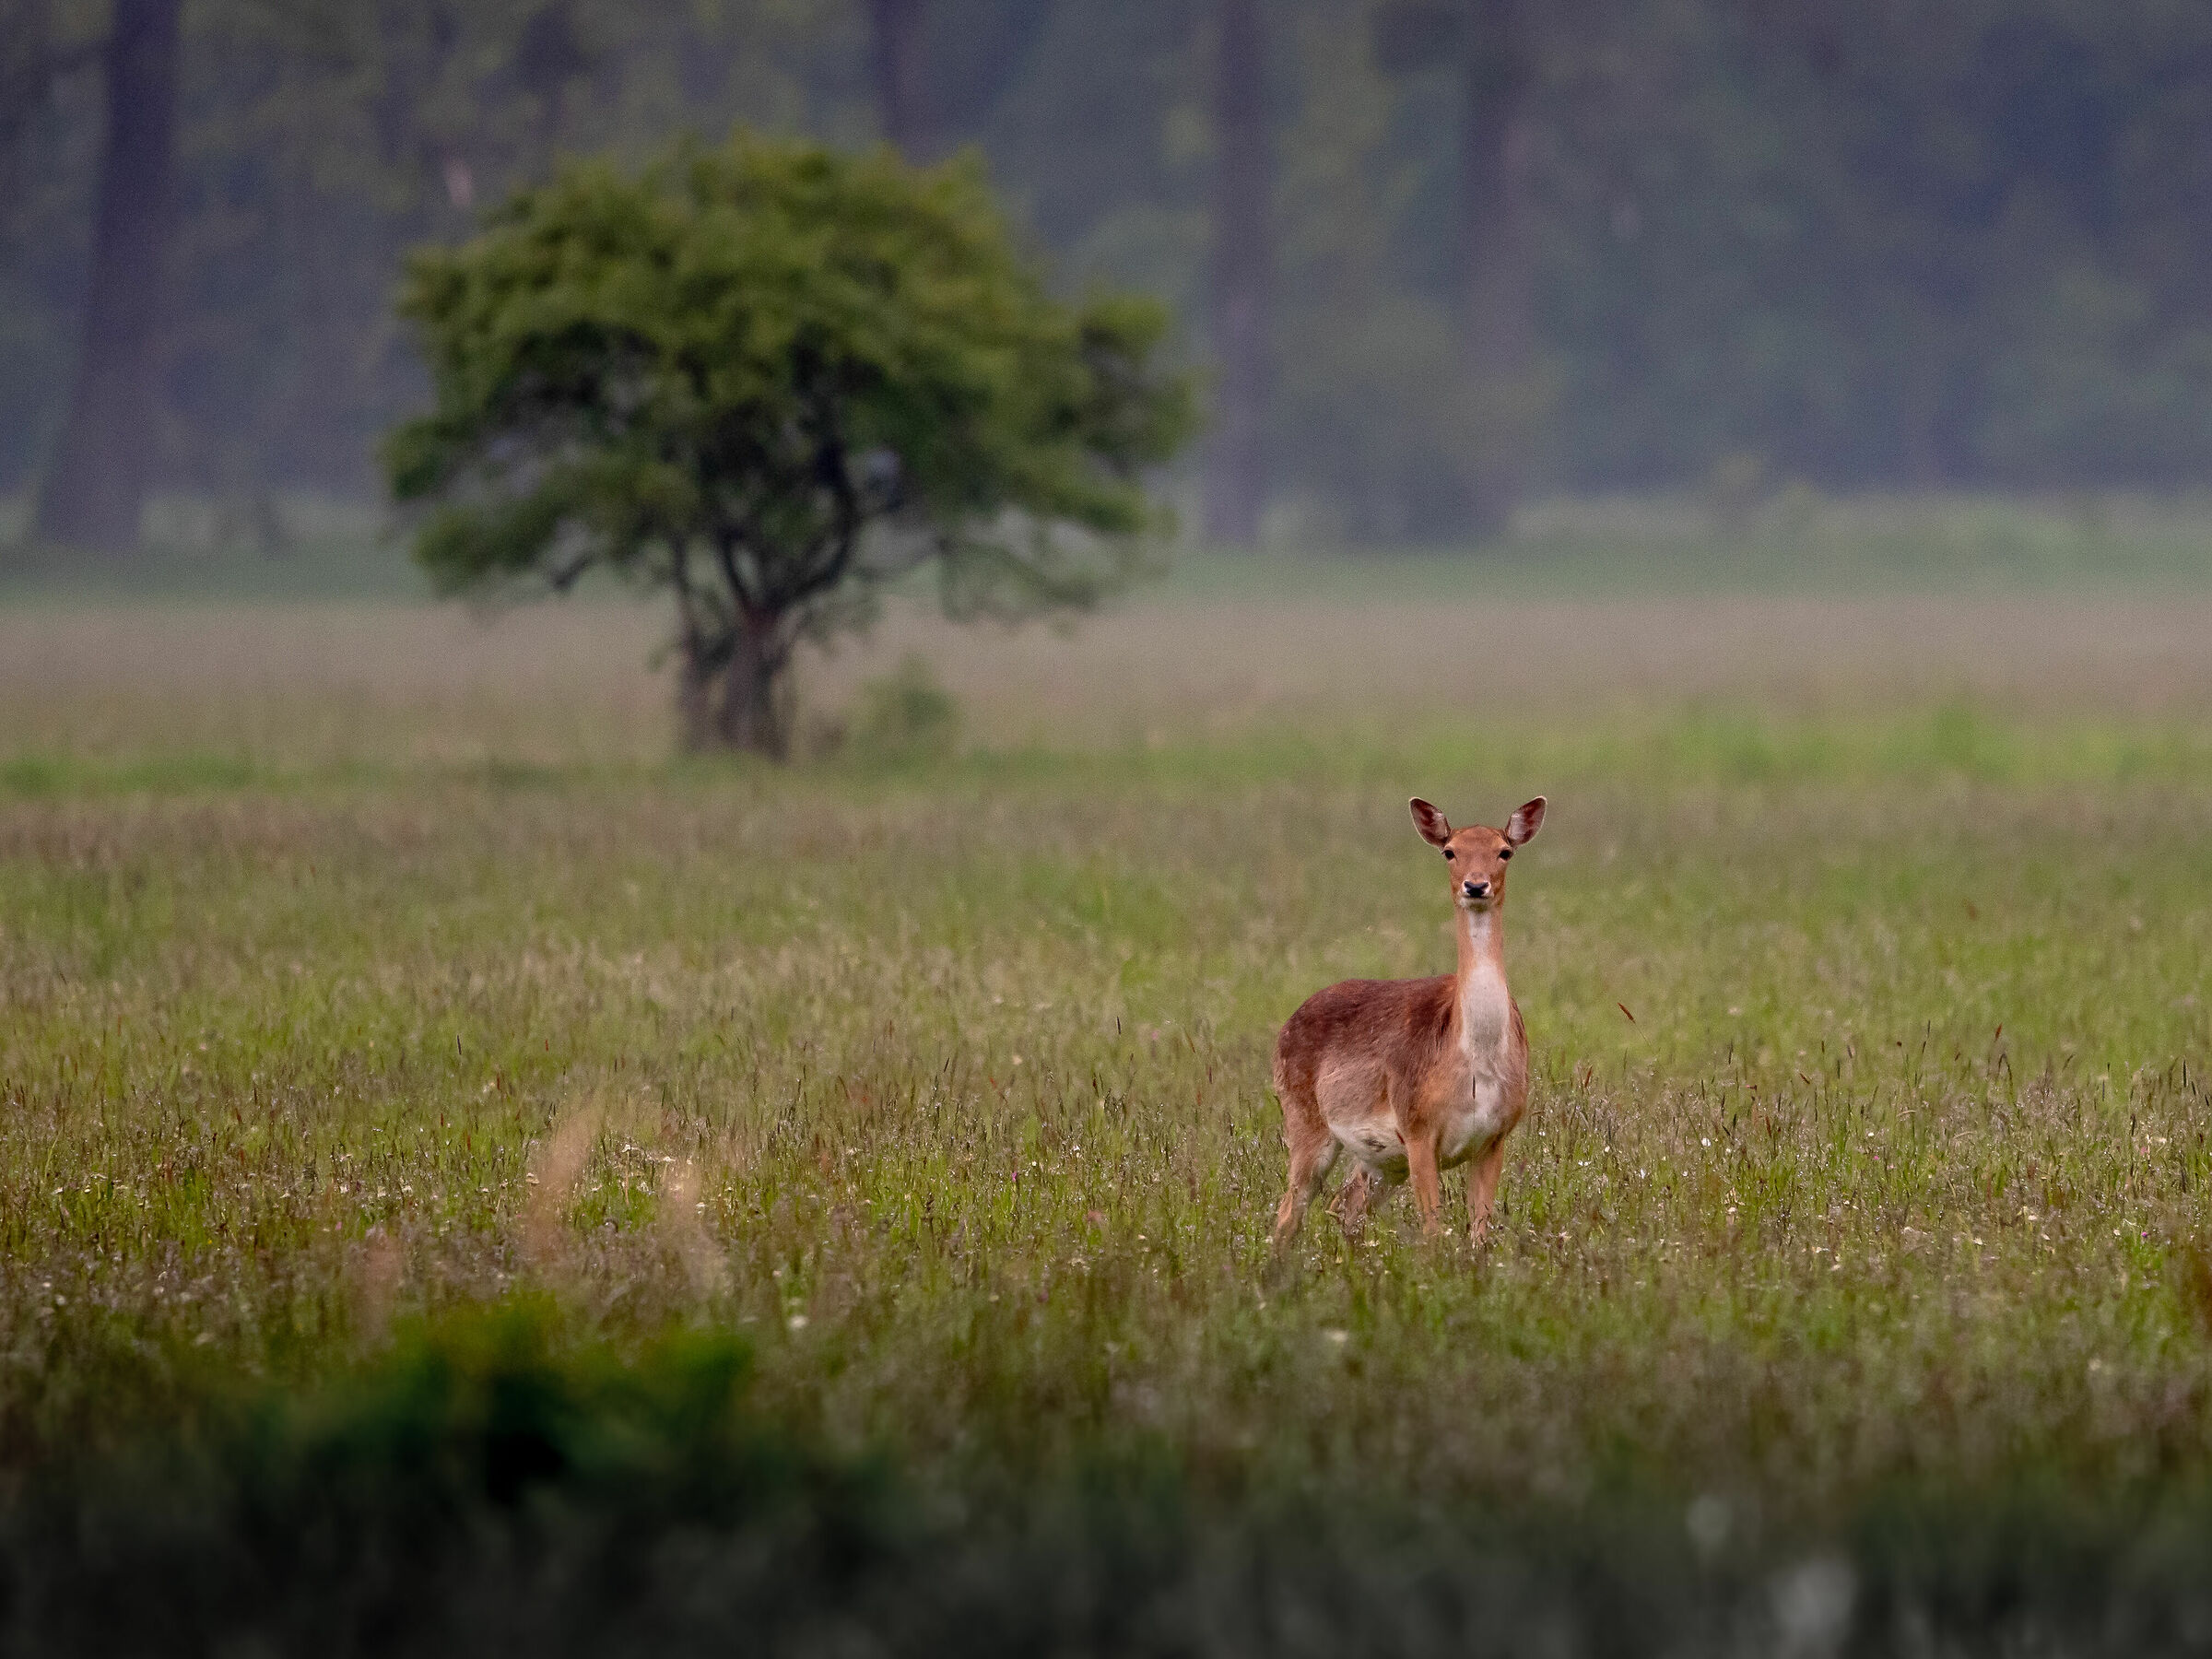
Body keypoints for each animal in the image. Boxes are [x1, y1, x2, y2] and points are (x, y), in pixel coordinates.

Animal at [1271, 795, 1547, 1250]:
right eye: (1449, 851)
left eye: (1504, 851)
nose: (1475, 886)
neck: (1475, 1065)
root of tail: (1285, 1027)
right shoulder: (1417, 1129)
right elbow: (1433, 1232)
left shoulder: (1495, 1136)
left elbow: (1479, 1234)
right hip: (1304, 1122)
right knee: (1288, 1214)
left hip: (1380, 1160)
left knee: (1344, 1206)